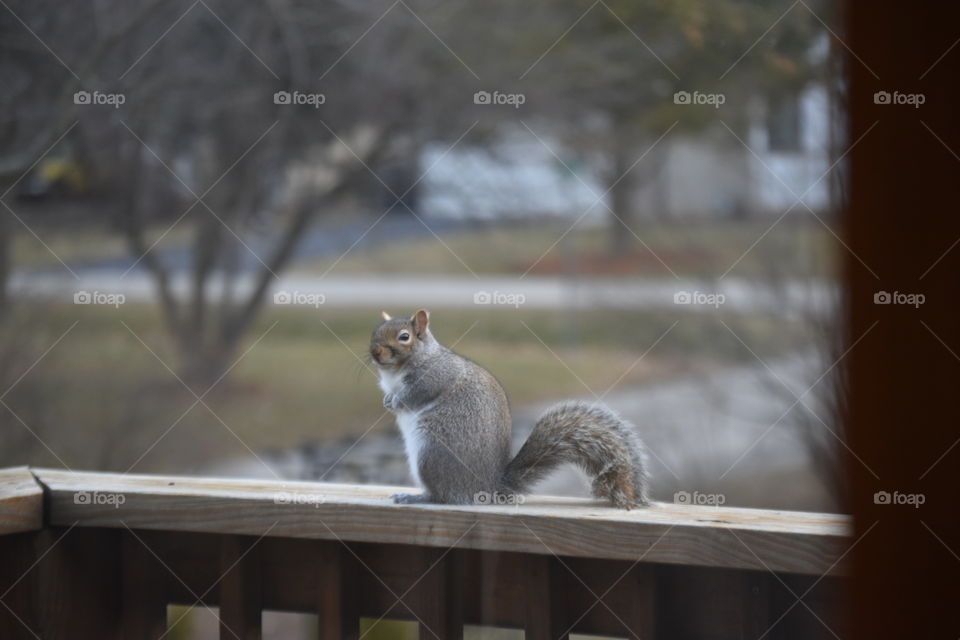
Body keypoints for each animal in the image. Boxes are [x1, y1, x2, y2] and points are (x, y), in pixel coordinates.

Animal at [368, 309, 650, 509]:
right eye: (375, 332)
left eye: (404, 337)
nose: (375, 352)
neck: (395, 372)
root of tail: (488, 488)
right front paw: (387, 400)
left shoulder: (435, 377)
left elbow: (416, 394)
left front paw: (396, 402)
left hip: (431, 455)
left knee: (444, 496)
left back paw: (417, 497)